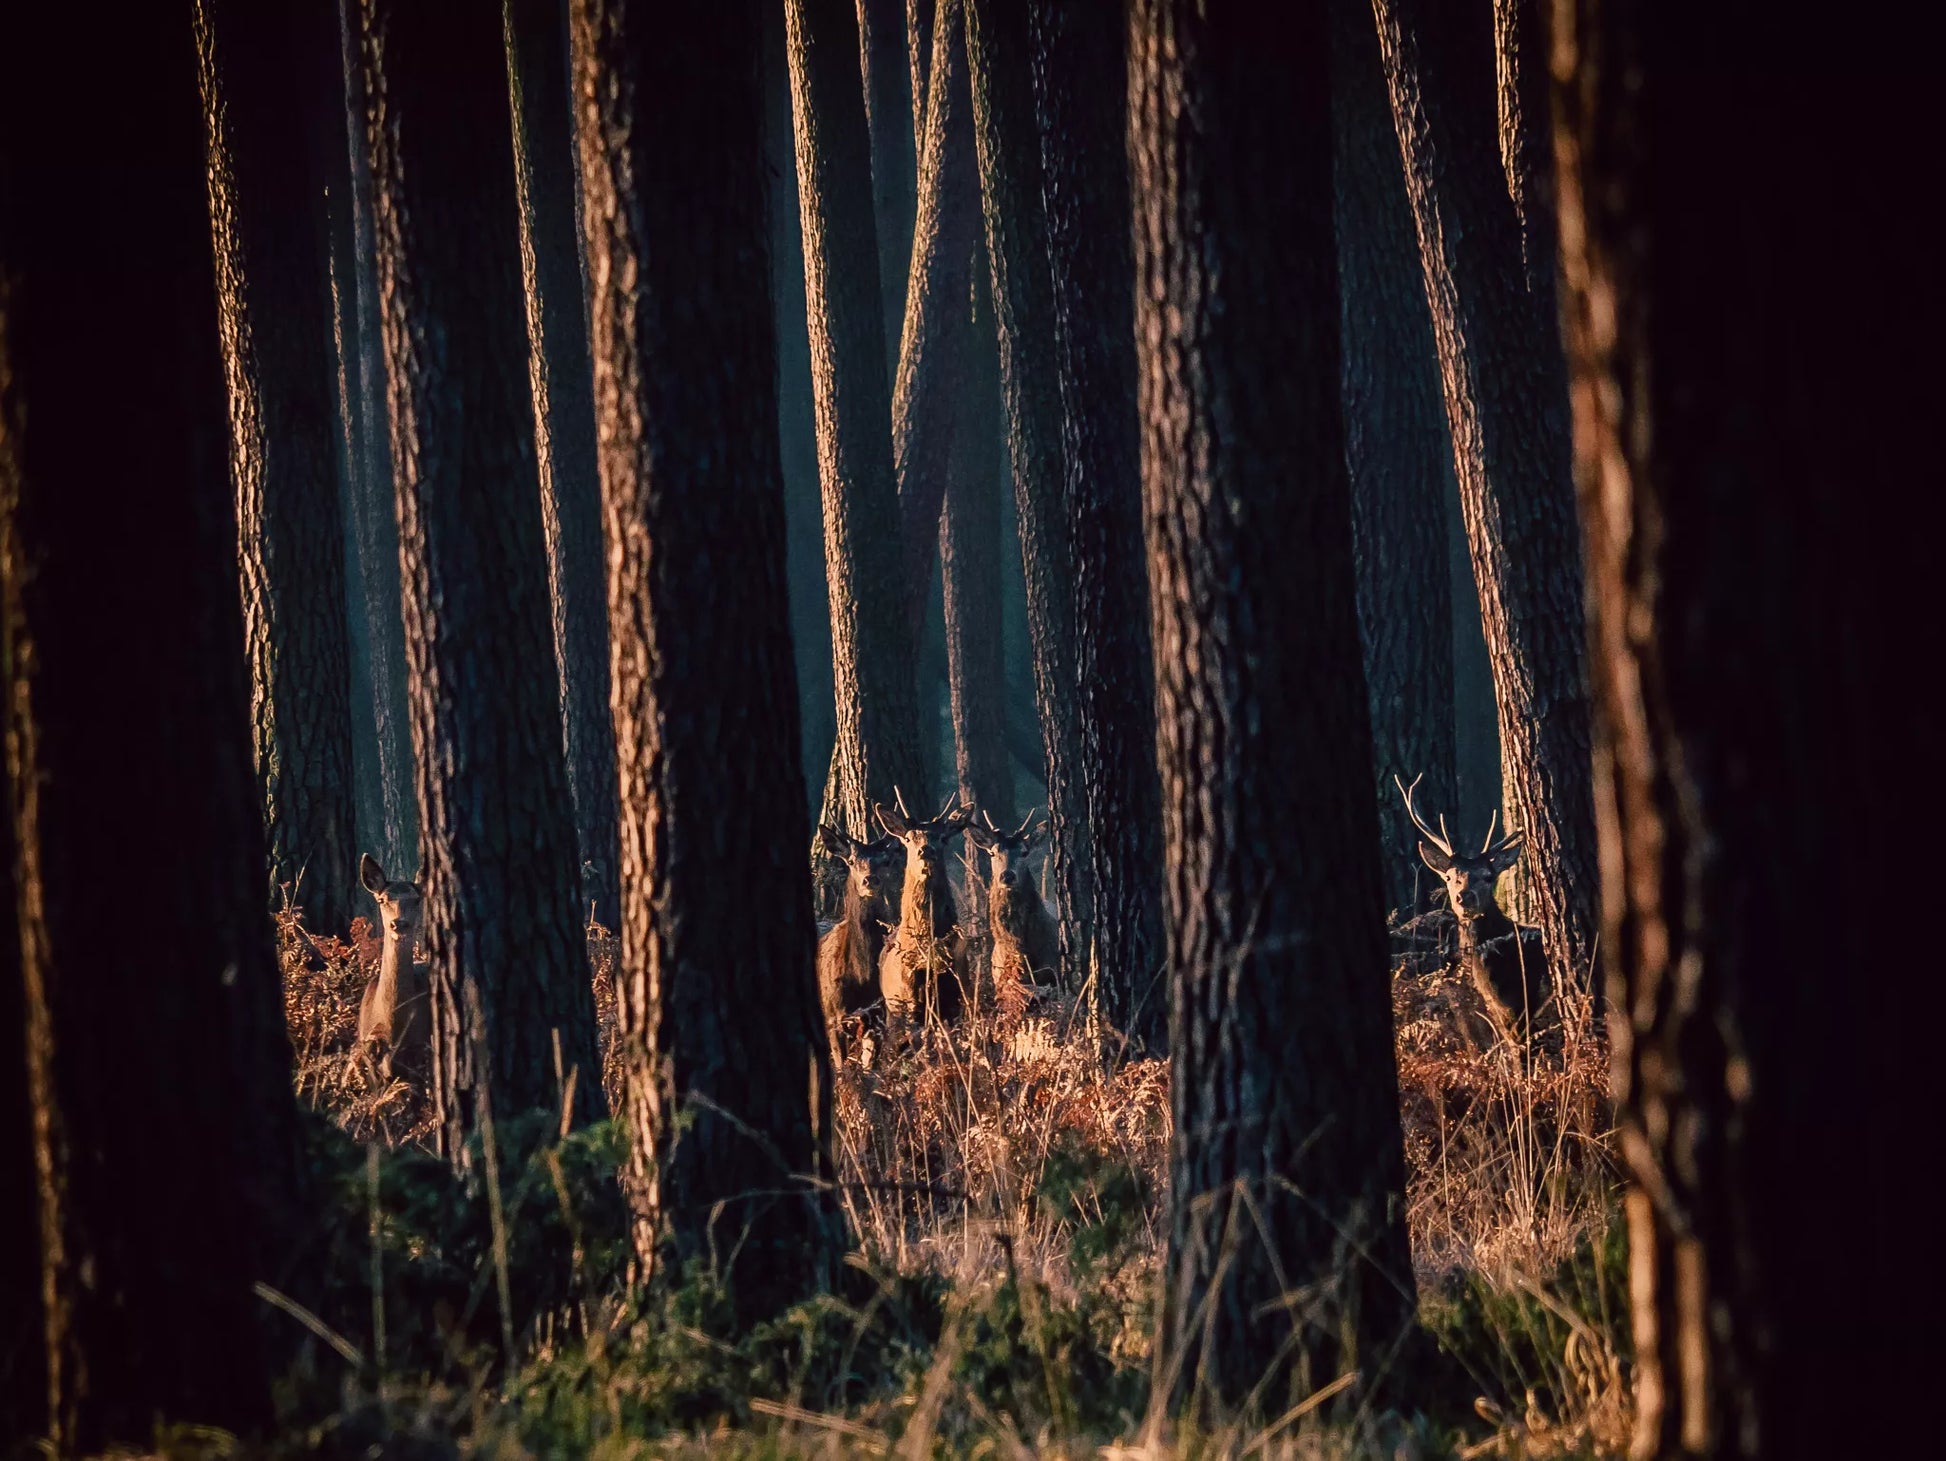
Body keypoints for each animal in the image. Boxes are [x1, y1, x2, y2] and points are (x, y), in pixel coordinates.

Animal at [813, 824, 902, 1066]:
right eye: (851, 861)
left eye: (885, 860)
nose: (869, 880)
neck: (861, 974)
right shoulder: (832, 1017)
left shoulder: (876, 1015)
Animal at [879, 782, 973, 1042]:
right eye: (908, 838)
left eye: (943, 837)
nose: (926, 850)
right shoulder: (907, 999)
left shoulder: (956, 993)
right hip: (893, 1008)